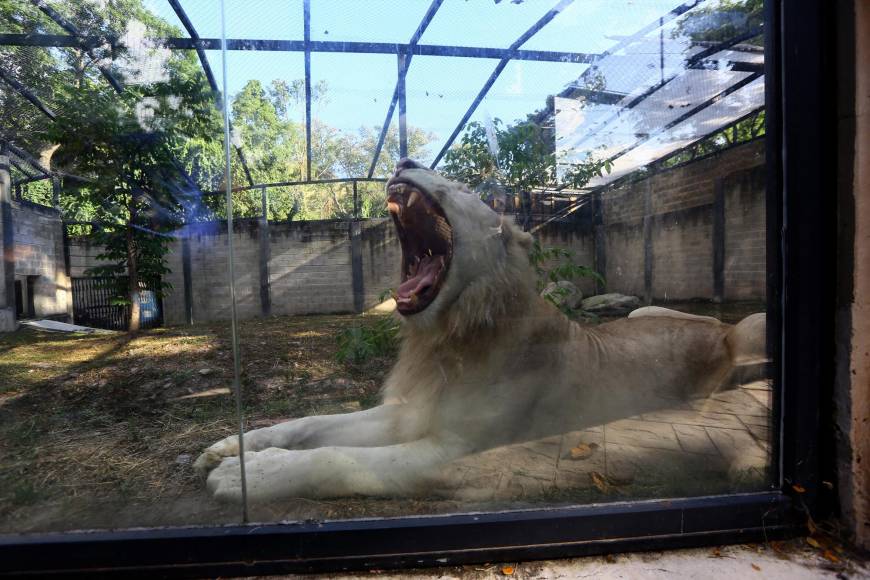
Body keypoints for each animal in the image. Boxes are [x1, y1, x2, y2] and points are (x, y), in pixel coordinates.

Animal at [194, 159, 768, 502]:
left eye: (455, 183)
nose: (404, 161)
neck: (444, 338)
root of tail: (721, 330)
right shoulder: (408, 412)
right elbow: (310, 424)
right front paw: (231, 447)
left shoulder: (455, 453)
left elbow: (335, 457)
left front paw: (249, 475)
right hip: (643, 314)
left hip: (747, 330)